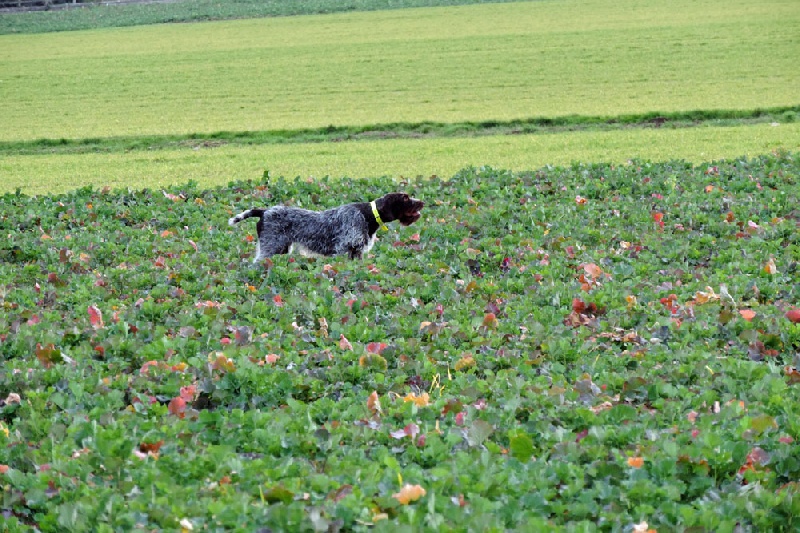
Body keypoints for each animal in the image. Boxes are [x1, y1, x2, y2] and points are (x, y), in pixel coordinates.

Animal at [228, 192, 422, 260]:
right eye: (405, 198)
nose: (422, 202)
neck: (368, 215)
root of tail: (265, 211)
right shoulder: (343, 249)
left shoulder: (355, 252)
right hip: (270, 247)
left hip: (281, 248)